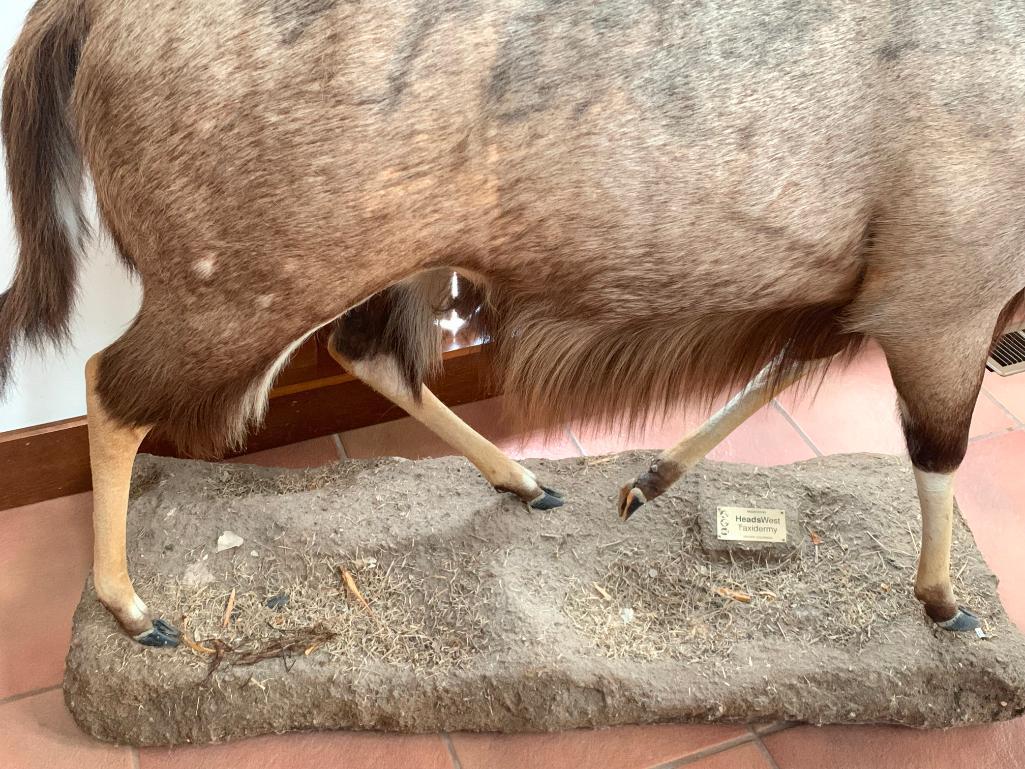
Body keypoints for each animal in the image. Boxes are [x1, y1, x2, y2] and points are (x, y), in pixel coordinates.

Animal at [2, 1, 1025, 652]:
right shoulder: (944, 299)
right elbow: (937, 452)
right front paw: (944, 602)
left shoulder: (870, 296)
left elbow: (787, 364)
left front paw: (644, 481)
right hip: (246, 293)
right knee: (111, 385)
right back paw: (132, 609)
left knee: (364, 351)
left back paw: (525, 480)